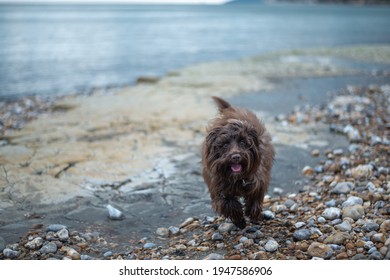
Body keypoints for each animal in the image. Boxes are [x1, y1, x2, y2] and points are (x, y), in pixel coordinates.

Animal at [201, 97, 274, 229]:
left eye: (243, 142)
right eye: (225, 145)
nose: (236, 156)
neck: (238, 178)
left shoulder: (258, 178)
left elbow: (256, 194)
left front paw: (252, 213)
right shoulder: (217, 185)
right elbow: (227, 202)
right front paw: (239, 219)